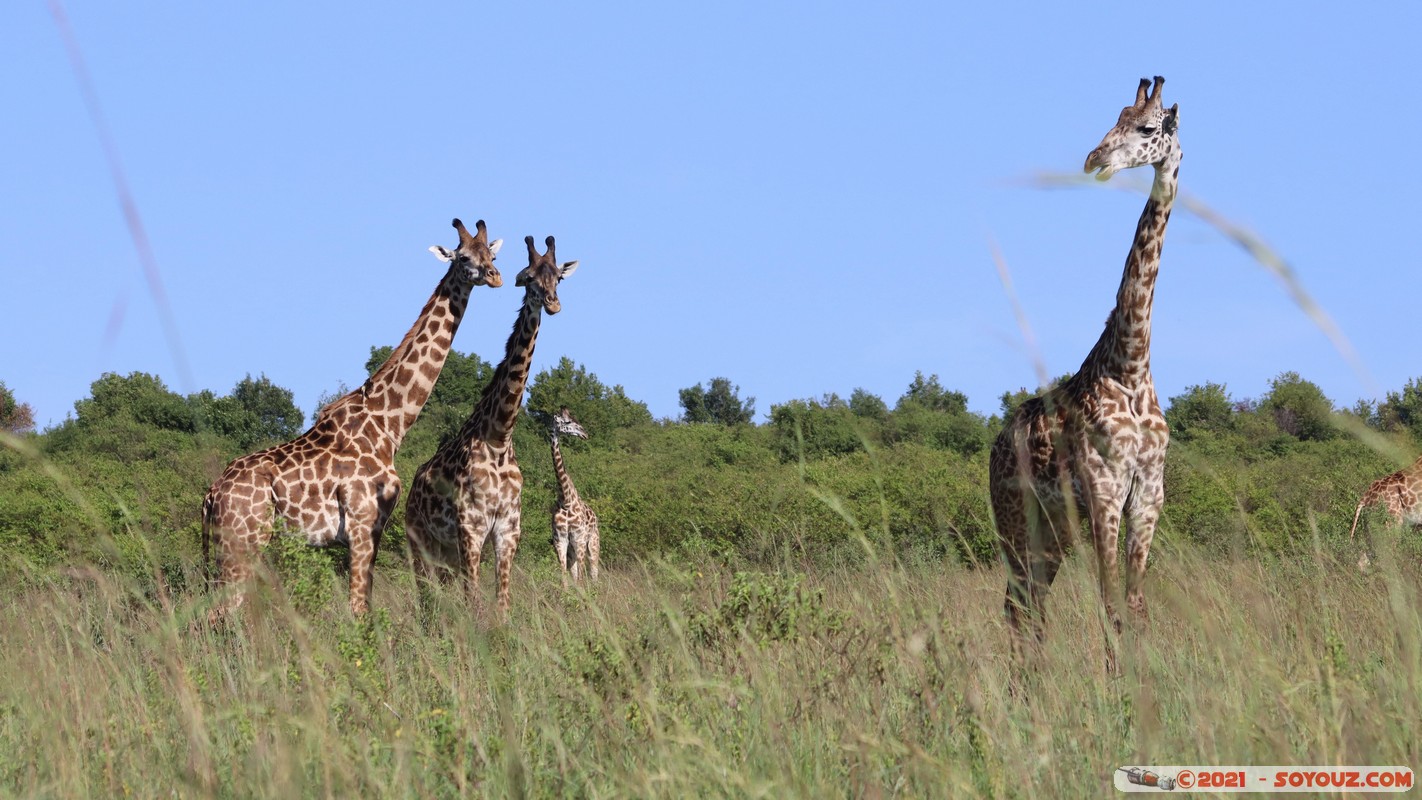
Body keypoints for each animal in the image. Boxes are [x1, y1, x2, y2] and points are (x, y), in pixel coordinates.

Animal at [204, 221, 506, 622]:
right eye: (463, 257)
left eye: (492, 255)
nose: (495, 277)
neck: (389, 424)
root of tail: (212, 494)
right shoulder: (364, 522)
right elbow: (359, 608)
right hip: (243, 543)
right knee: (220, 613)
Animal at [403, 233, 580, 619]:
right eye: (529, 278)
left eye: (558, 278)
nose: (553, 304)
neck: (499, 436)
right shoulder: (471, 528)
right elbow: (474, 601)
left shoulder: (507, 530)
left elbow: (502, 603)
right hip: (421, 542)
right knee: (426, 599)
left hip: (447, 552)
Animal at [534, 406, 600, 582]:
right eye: (568, 421)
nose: (585, 433)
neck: (566, 500)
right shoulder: (561, 540)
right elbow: (564, 576)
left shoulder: (579, 538)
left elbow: (581, 578)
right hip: (573, 549)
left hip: (593, 542)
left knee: (593, 572)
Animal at [989, 76, 1177, 676]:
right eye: (1112, 119)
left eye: (1148, 126)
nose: (1094, 159)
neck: (1132, 364)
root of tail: (996, 442)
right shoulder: (1104, 489)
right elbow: (1110, 605)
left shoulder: (1148, 494)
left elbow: (1135, 607)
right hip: (1016, 520)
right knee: (1018, 606)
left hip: (1052, 530)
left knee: (1028, 606)